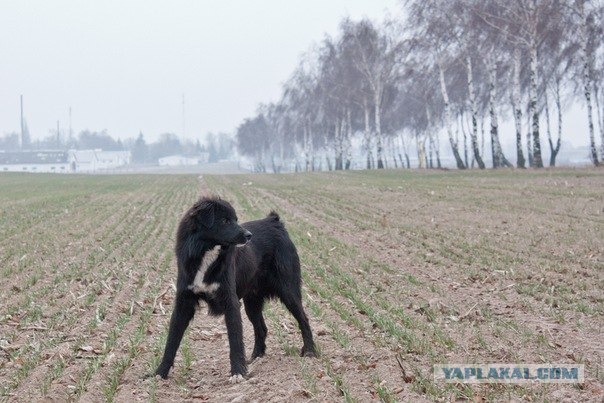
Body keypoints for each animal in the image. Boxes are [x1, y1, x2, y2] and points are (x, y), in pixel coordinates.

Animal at [156, 197, 316, 384]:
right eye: (225, 221)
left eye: (235, 219)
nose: (249, 235)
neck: (206, 252)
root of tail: (274, 221)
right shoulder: (183, 302)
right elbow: (172, 340)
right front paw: (160, 373)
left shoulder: (230, 302)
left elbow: (235, 340)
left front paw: (238, 372)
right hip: (251, 302)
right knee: (261, 328)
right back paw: (255, 358)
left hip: (288, 291)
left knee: (303, 319)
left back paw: (310, 351)